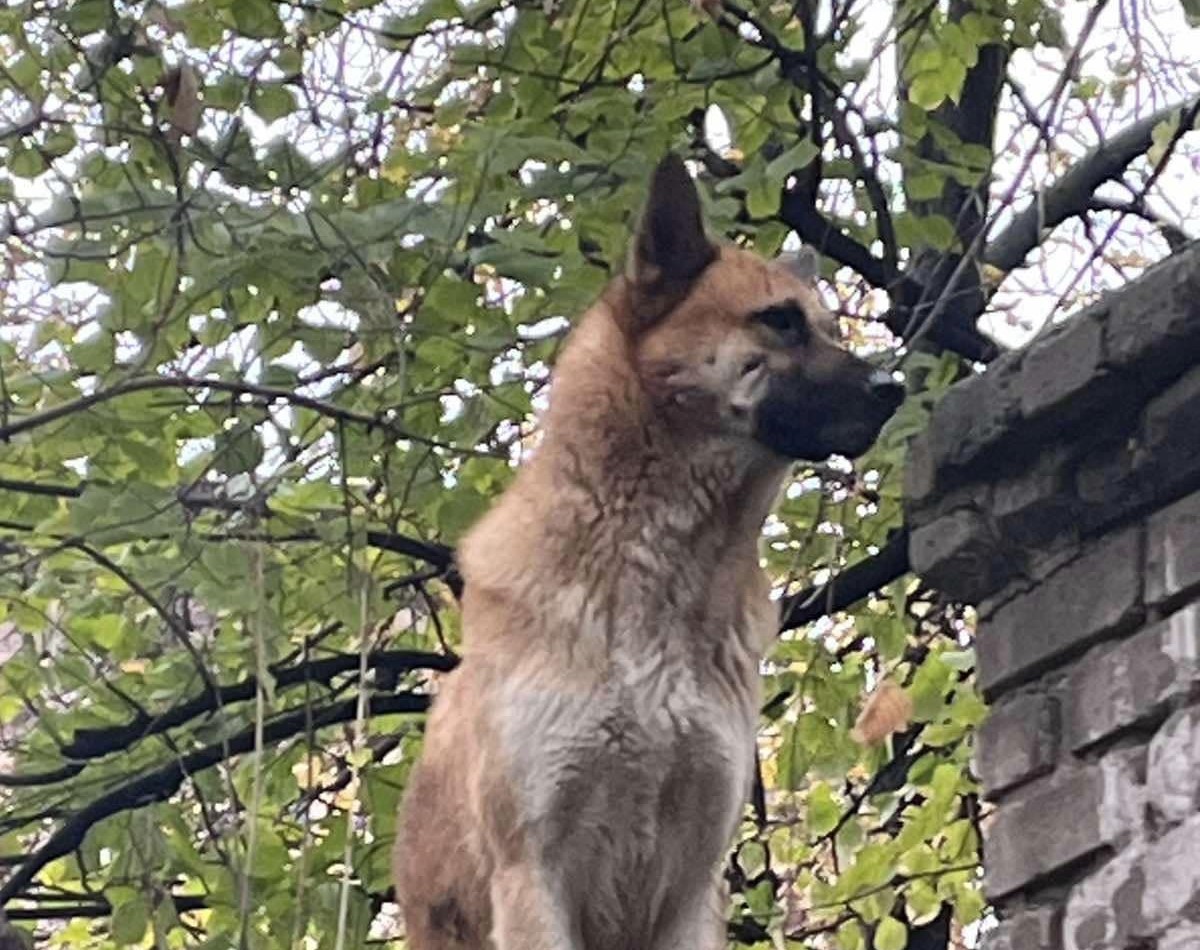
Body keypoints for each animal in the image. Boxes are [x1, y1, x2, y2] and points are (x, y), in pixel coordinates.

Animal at [393, 155, 902, 950]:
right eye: (779, 321)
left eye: (824, 327)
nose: (895, 387)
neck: (657, 572)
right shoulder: (533, 876)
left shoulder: (692, 886)